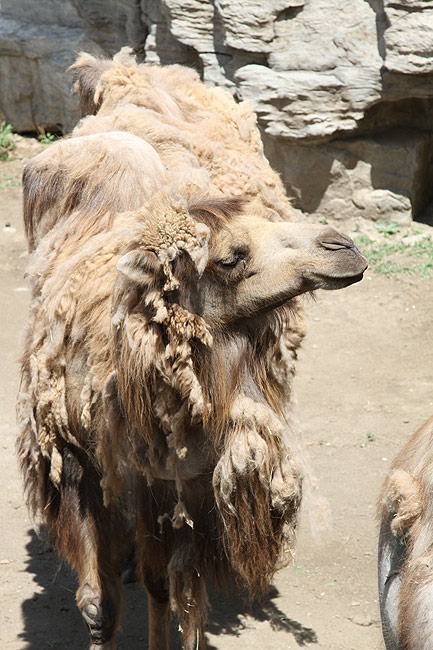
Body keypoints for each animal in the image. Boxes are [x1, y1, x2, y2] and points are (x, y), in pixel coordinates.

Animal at [17, 49, 368, 649]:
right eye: (231, 256)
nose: (343, 247)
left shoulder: (179, 482)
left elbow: (166, 586)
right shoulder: (76, 462)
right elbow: (98, 604)